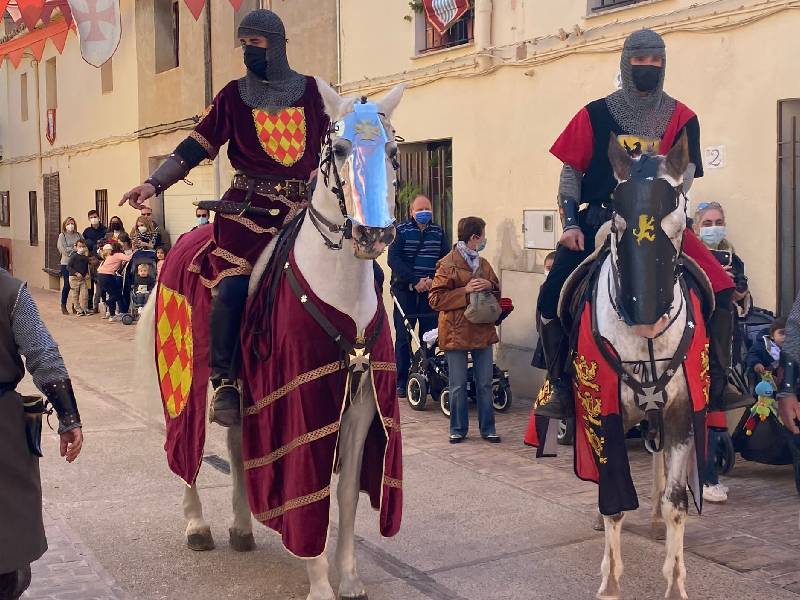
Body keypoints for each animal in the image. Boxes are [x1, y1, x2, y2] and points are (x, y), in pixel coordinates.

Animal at [135, 79, 406, 600]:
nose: (372, 235)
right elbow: (309, 487)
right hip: (184, 378)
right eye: (339, 149)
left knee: (238, 447)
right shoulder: (304, 402)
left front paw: (349, 578)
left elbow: (344, 494)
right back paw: (197, 525)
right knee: (185, 443)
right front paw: (320, 582)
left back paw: (242, 527)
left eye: (392, 151)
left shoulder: (363, 404)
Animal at [580, 136, 704, 600]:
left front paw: (675, 583)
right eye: (617, 221)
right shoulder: (602, 414)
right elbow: (613, 500)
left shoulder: (681, 413)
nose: (647, 314)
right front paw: (610, 582)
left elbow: (676, 504)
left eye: (680, 220)